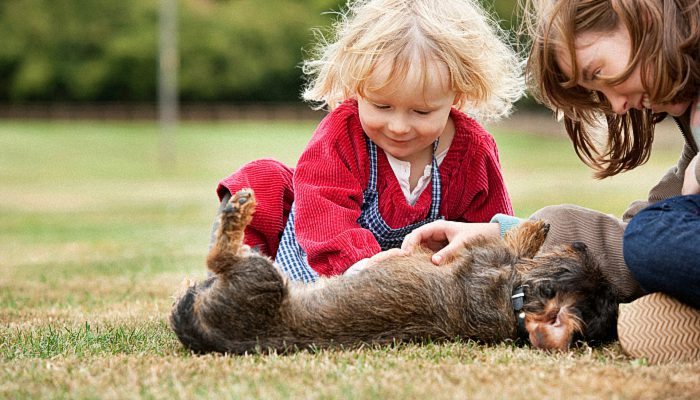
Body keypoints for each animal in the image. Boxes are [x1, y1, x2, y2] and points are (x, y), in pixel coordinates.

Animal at [170, 189, 616, 354]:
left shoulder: (486, 256)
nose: (581, 243)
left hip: (260, 277)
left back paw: (235, 209)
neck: (512, 301)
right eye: (581, 260)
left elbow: (515, 242)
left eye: (569, 267)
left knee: (220, 256)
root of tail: (204, 332)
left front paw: (533, 228)